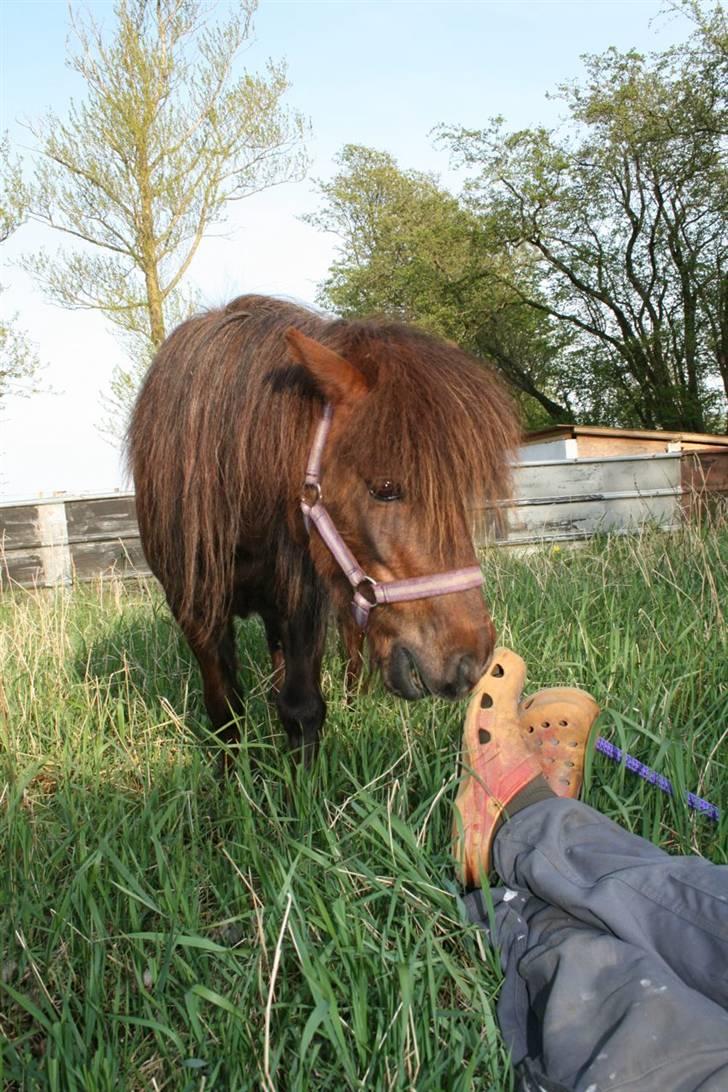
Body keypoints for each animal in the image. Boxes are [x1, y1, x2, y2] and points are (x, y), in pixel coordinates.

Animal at [129, 294, 517, 764]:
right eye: (385, 488)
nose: (471, 660)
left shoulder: (303, 597)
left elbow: (302, 706)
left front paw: (303, 780)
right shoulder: (194, 606)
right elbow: (225, 711)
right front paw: (232, 778)